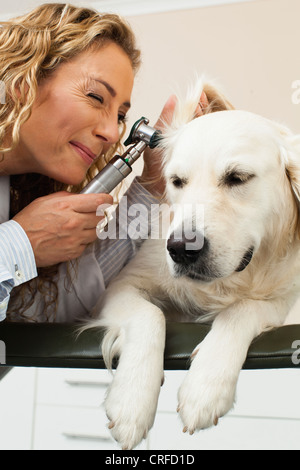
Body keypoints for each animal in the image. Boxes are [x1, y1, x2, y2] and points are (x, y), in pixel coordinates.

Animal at [85, 80, 300, 448]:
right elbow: (149, 315)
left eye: (237, 178)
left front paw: (205, 387)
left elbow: (241, 310)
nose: (181, 250)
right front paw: (131, 400)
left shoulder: (282, 298)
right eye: (177, 181)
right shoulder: (121, 284)